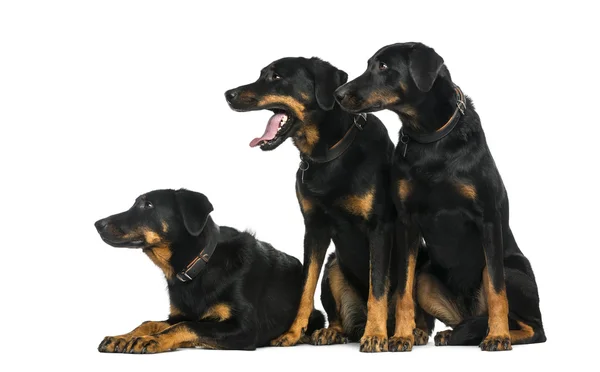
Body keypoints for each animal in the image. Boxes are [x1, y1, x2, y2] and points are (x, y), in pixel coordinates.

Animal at [95, 187, 324, 354]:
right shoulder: (179, 315)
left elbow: (188, 326)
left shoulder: (244, 328)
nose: (97, 224)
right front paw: (123, 337)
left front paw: (151, 340)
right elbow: (150, 322)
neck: (199, 265)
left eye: (147, 204)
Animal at [224, 57, 432, 352]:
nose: (228, 94)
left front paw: (375, 335)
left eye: (276, 76)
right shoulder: (314, 229)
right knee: (339, 316)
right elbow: (305, 287)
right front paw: (292, 333)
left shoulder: (380, 228)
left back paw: (411, 332)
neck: (328, 154)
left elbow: (378, 288)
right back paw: (332, 332)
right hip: (333, 267)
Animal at [336, 42, 548, 350]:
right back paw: (452, 333)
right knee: (461, 315)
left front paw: (497, 335)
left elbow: (498, 292)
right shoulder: (406, 223)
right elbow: (403, 291)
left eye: (384, 66)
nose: (338, 94)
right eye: (368, 65)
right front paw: (401, 336)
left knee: (533, 326)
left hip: (512, 271)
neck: (430, 139)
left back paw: (499, 334)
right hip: (427, 280)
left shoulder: (488, 218)